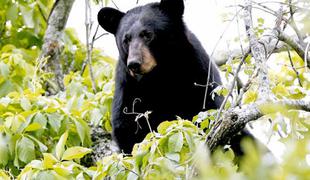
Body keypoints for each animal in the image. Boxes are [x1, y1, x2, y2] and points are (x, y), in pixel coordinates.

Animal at [98, 0, 222, 153]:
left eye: (148, 34)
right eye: (126, 40)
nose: (134, 64)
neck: (159, 77)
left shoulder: (198, 73)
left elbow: (207, 109)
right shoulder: (127, 89)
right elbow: (126, 127)